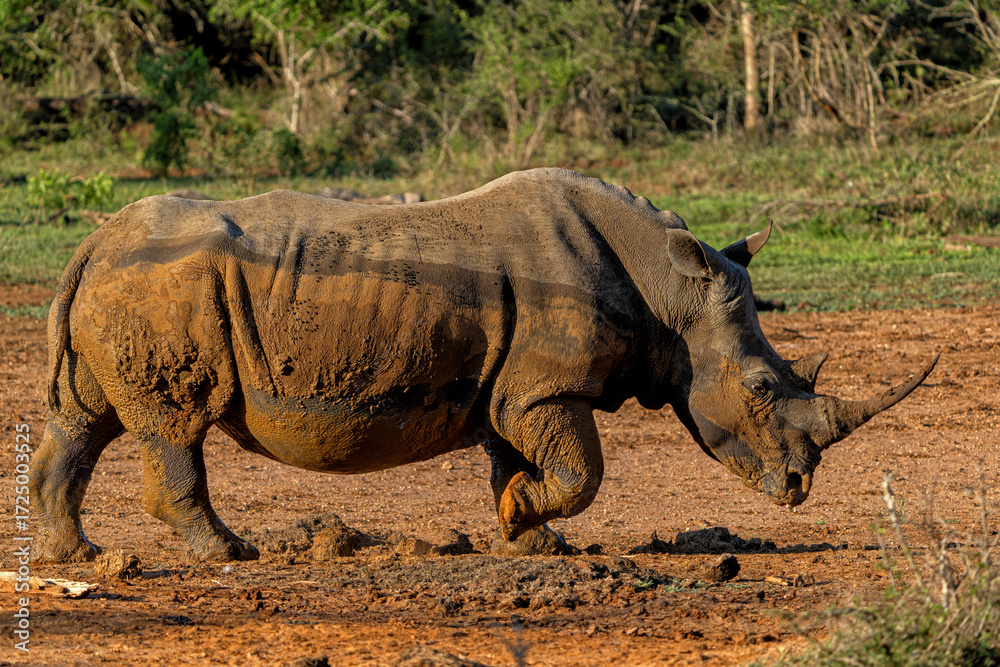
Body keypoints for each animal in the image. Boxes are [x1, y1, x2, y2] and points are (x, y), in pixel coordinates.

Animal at [31, 168, 937, 562]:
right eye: (761, 386)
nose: (799, 488)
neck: (669, 290)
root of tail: (91, 243)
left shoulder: (517, 389)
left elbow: (524, 462)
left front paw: (524, 535)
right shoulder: (547, 386)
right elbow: (584, 470)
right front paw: (522, 522)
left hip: (125, 285)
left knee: (83, 421)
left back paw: (75, 556)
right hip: (159, 287)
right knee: (171, 424)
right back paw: (228, 553)